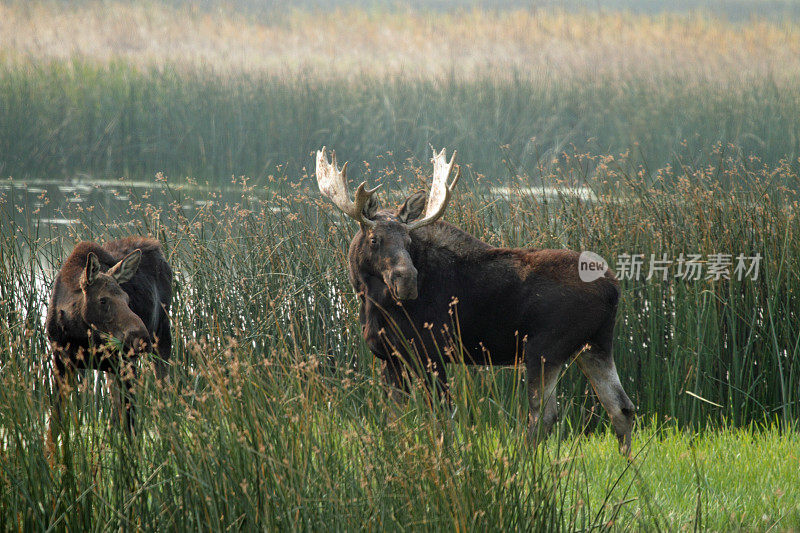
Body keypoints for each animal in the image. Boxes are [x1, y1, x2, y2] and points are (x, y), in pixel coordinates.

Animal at [45, 235, 172, 434]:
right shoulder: (61, 363)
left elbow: (131, 426)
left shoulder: (125, 363)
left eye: (127, 299)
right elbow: (53, 426)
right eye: (103, 300)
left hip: (162, 337)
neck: (79, 335)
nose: (141, 338)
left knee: (163, 393)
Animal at [316, 148, 636, 456]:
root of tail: (614, 289)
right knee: (622, 408)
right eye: (375, 240)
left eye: (408, 242)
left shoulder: (431, 352)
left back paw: (522, 462)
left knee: (544, 415)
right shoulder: (392, 358)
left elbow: (443, 417)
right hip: (594, 346)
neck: (372, 302)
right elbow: (394, 419)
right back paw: (628, 464)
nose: (407, 281)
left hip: (544, 349)